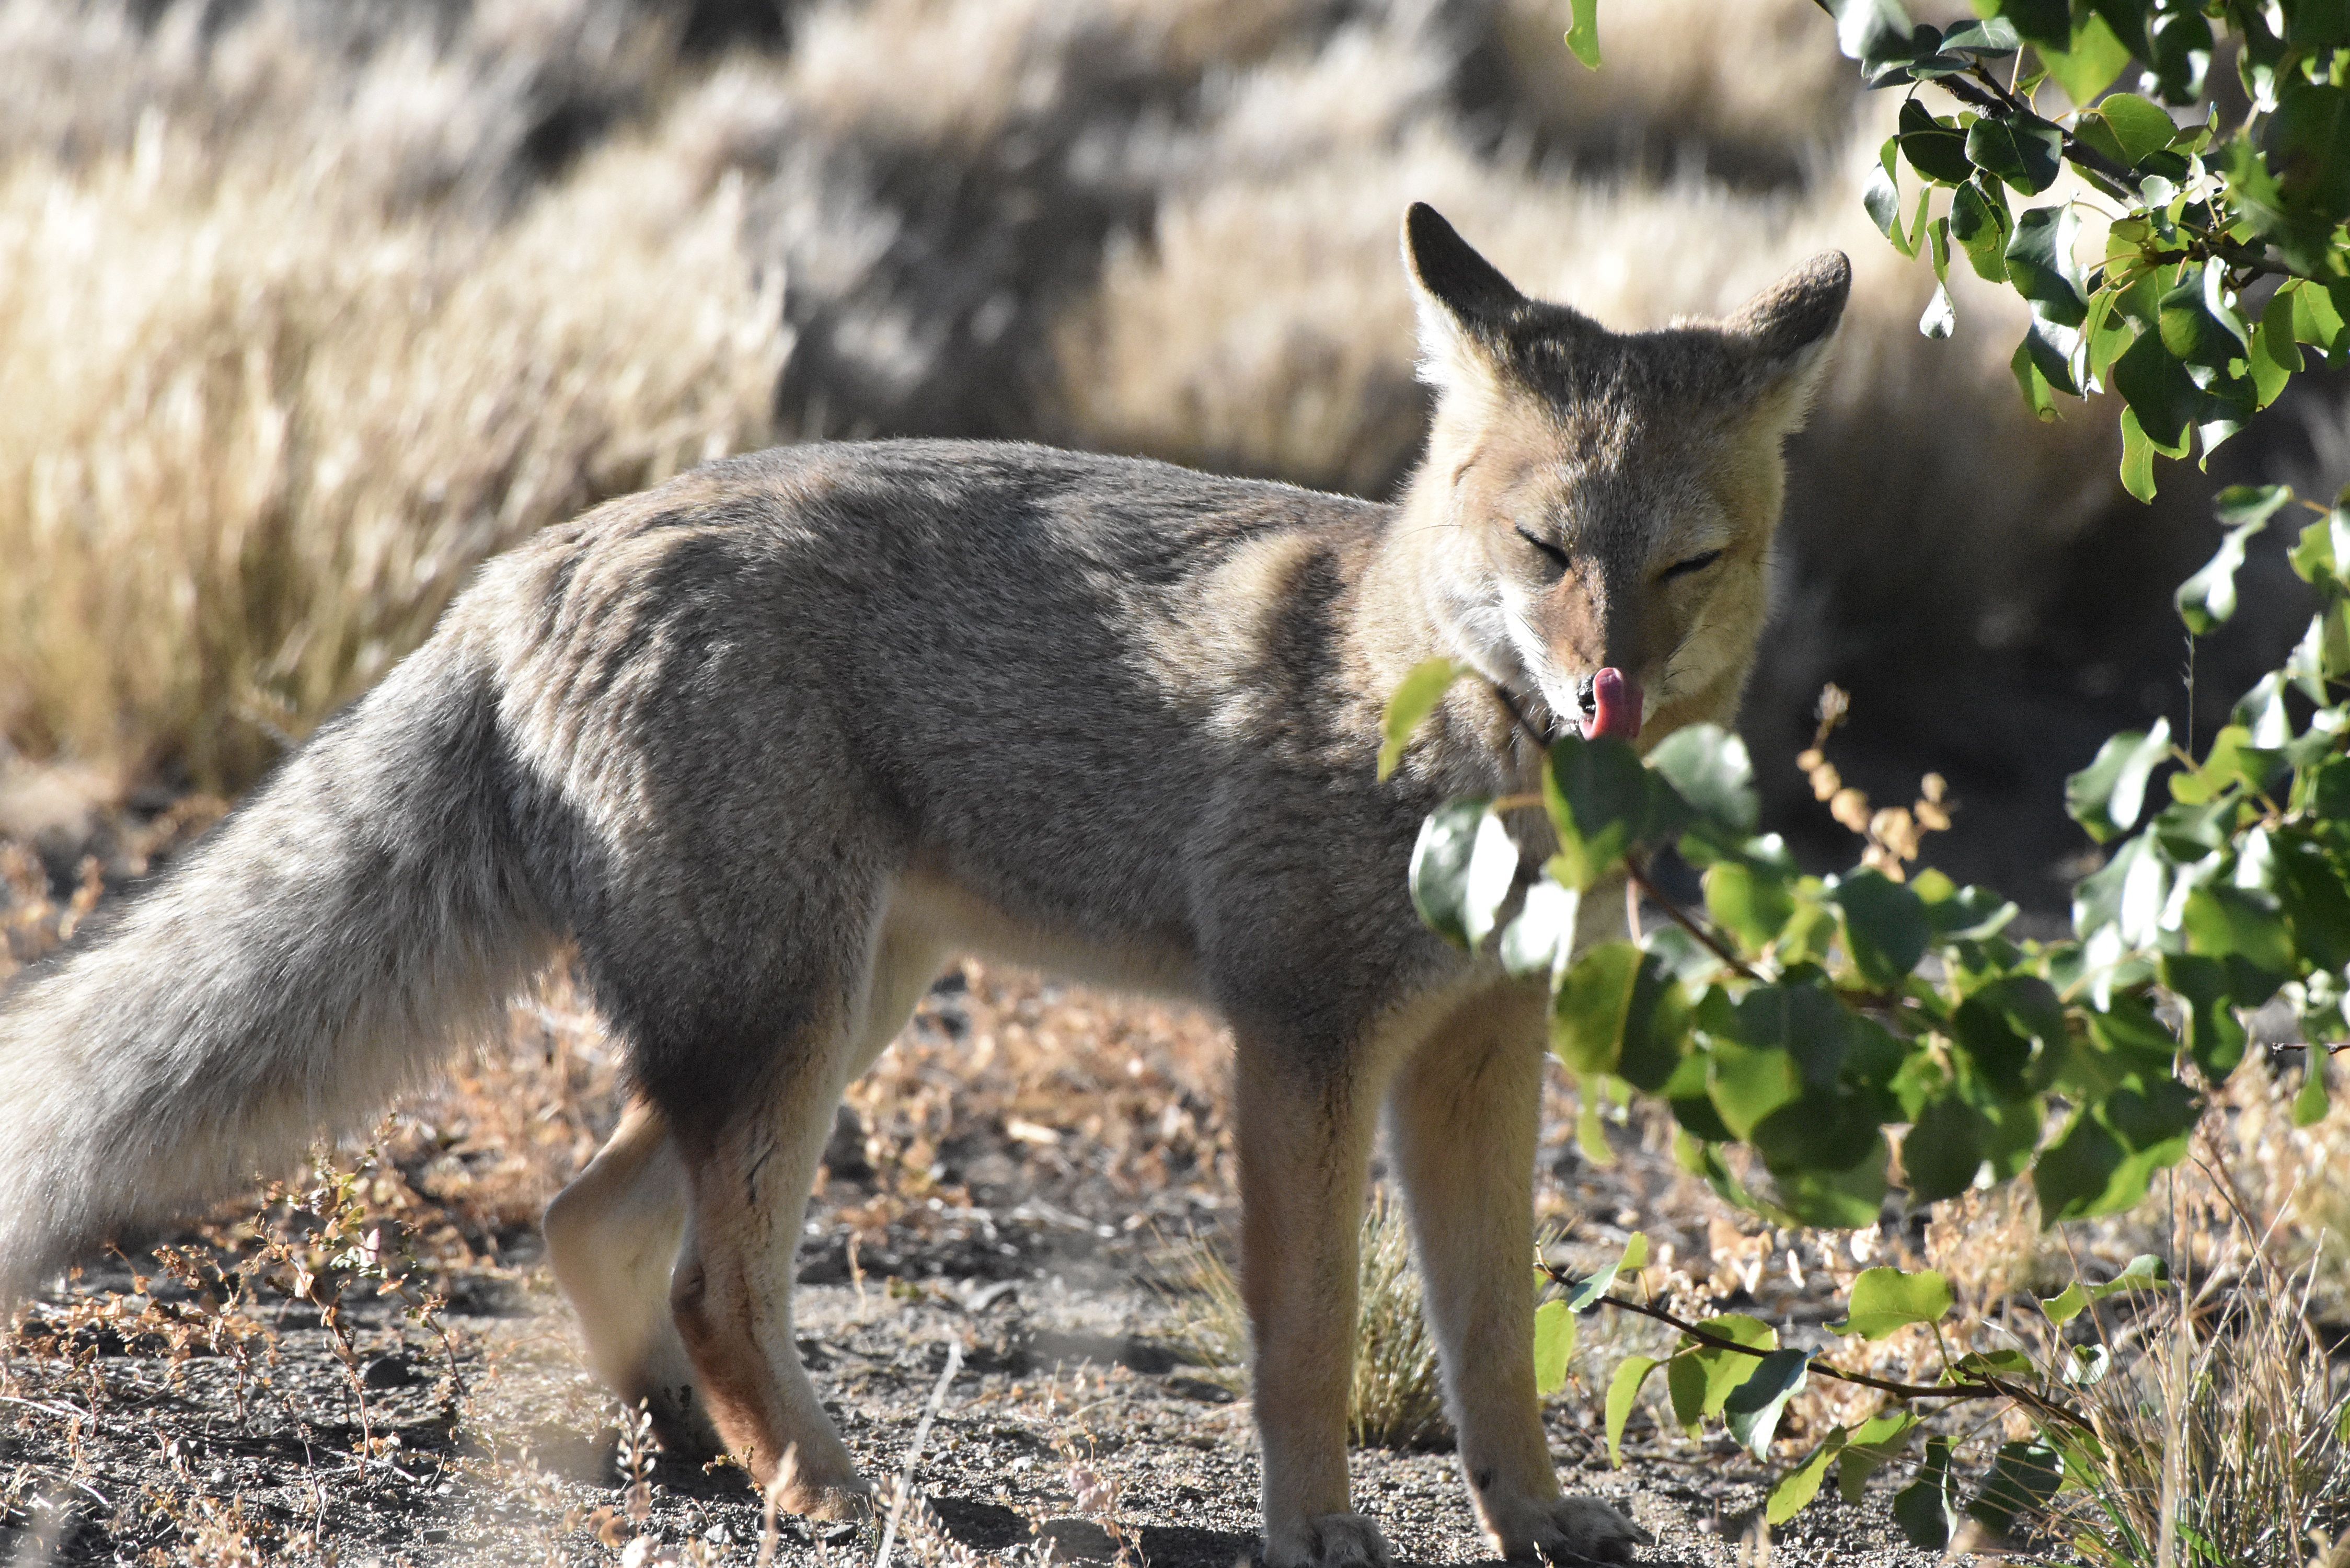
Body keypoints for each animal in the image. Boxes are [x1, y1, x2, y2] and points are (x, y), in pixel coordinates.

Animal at [0, 208, 1842, 1568]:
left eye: (1686, 564)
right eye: (1545, 552)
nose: (1604, 694)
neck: (1414, 700)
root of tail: (524, 562)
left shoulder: (1480, 1051)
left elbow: (1497, 1336)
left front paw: (1533, 1515)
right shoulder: (1300, 1040)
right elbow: (1313, 1329)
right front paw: (1315, 1526)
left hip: (837, 1003)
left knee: (592, 1218)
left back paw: (693, 1456)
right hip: (796, 1021)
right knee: (708, 1274)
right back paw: (828, 1492)